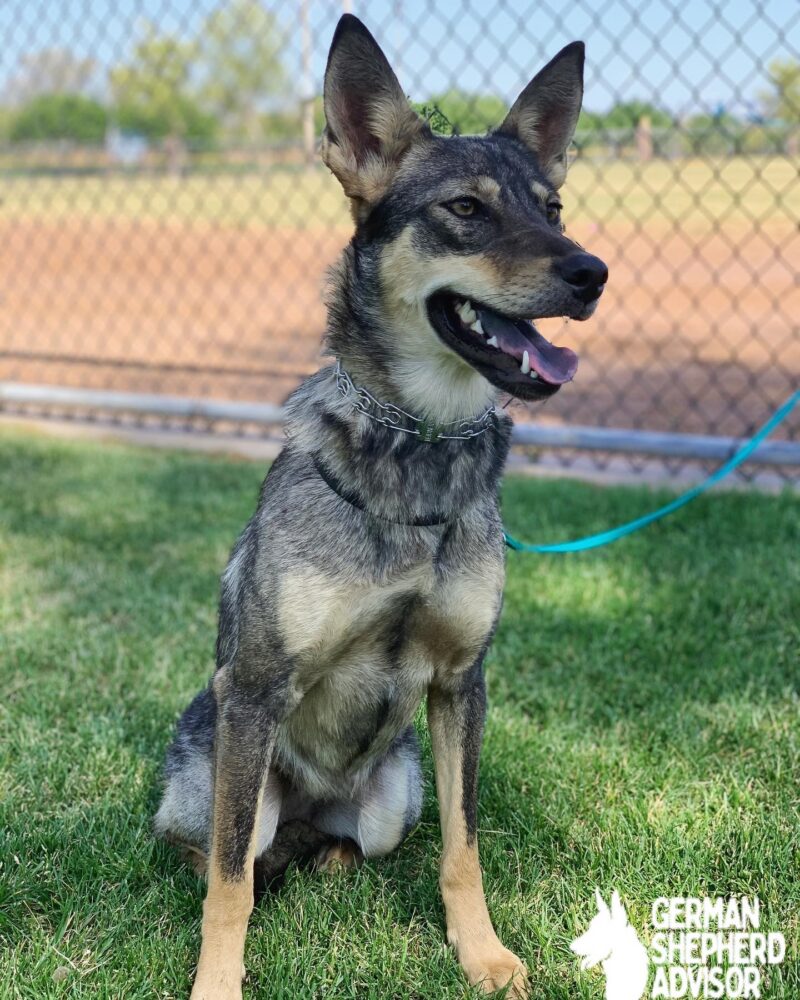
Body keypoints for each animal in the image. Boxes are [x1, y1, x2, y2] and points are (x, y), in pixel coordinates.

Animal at [155, 15, 608, 1000]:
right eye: (466, 210)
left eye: (553, 209)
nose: (594, 272)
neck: (420, 447)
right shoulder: (254, 692)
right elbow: (227, 884)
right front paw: (217, 982)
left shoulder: (462, 685)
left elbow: (463, 849)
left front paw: (482, 955)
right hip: (217, 763)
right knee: (223, 851)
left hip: (393, 793)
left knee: (338, 844)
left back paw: (324, 861)